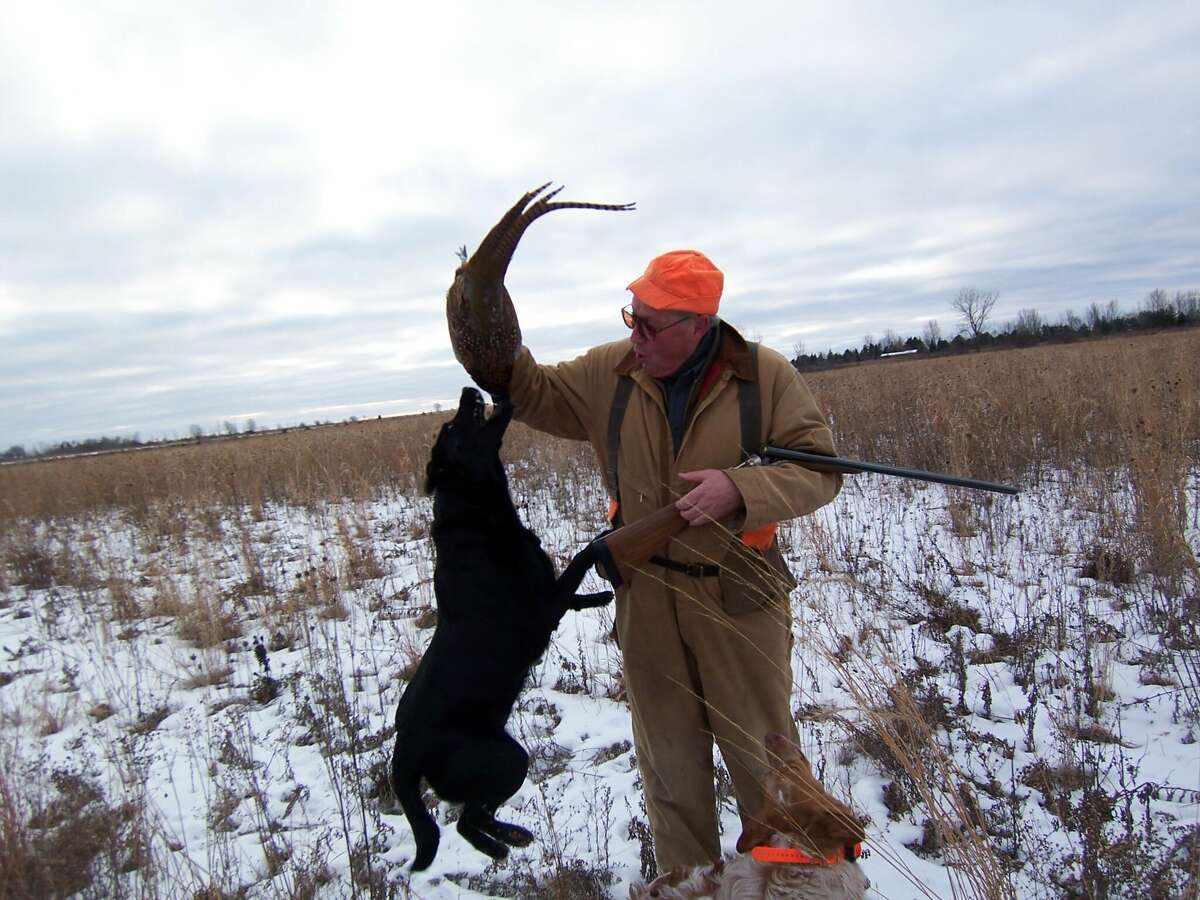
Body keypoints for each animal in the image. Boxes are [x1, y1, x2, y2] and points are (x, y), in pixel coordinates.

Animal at [391, 388, 614, 873]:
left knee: (473, 817)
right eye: (451, 428)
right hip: (504, 760)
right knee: (466, 820)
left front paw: (602, 596)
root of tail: (403, 753)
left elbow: (572, 589)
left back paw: (512, 836)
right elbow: (581, 557)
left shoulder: (549, 598)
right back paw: (500, 844)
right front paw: (606, 541)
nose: (468, 391)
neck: (476, 512)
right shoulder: (541, 605)